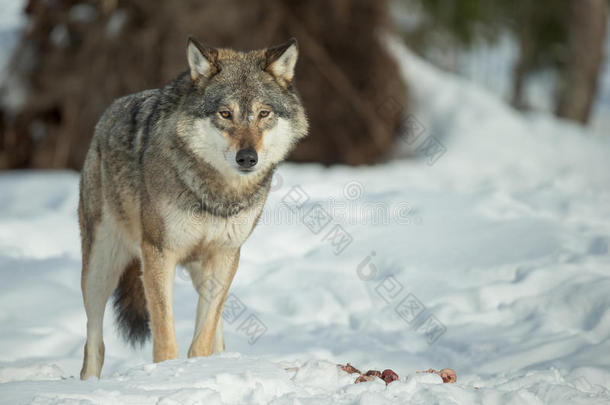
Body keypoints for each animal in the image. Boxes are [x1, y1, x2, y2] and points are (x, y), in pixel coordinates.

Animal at [79, 35, 308, 378]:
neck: (216, 194)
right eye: (225, 114)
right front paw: (167, 375)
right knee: (95, 344)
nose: (247, 158)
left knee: (218, 336)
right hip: (100, 268)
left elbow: (203, 337)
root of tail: (105, 116)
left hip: (203, 270)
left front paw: (197, 372)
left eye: (263, 113)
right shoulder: (159, 252)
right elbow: (164, 335)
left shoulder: (225, 255)